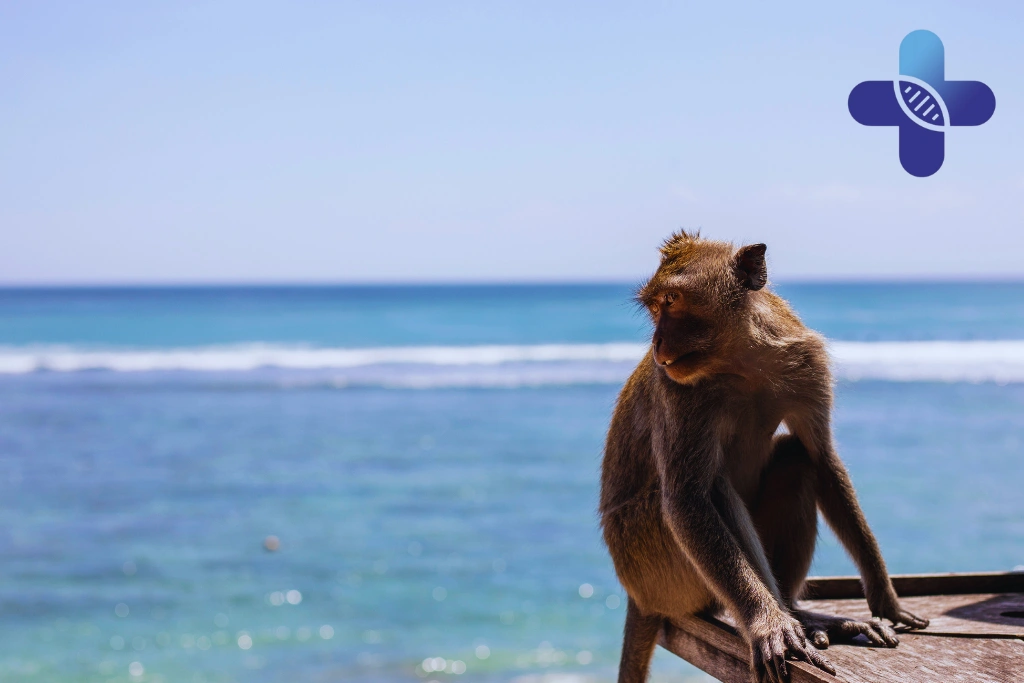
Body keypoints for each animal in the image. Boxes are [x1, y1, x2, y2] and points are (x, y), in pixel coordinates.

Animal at [599, 232, 928, 683]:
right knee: (714, 488)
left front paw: (886, 598)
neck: (742, 359)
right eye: (656, 306)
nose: (657, 343)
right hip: (655, 568)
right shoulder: (677, 391)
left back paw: (801, 616)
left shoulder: (807, 364)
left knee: (795, 459)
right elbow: (686, 499)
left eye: (672, 299)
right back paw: (780, 620)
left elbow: (822, 458)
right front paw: (766, 625)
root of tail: (637, 595)